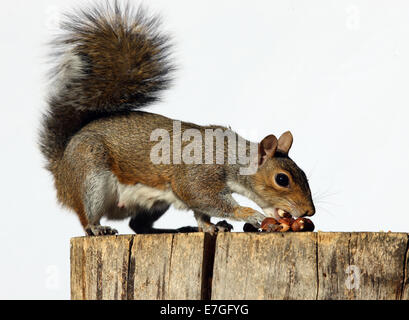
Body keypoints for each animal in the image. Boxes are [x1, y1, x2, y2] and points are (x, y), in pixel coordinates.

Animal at [38, 1, 314, 236]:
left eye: (303, 173)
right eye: (282, 179)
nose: (309, 211)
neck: (231, 157)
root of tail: (61, 164)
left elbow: (201, 211)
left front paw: (210, 226)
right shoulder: (197, 175)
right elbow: (203, 197)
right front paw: (250, 214)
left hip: (154, 204)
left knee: (139, 226)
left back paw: (175, 229)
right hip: (89, 176)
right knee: (87, 216)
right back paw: (98, 228)